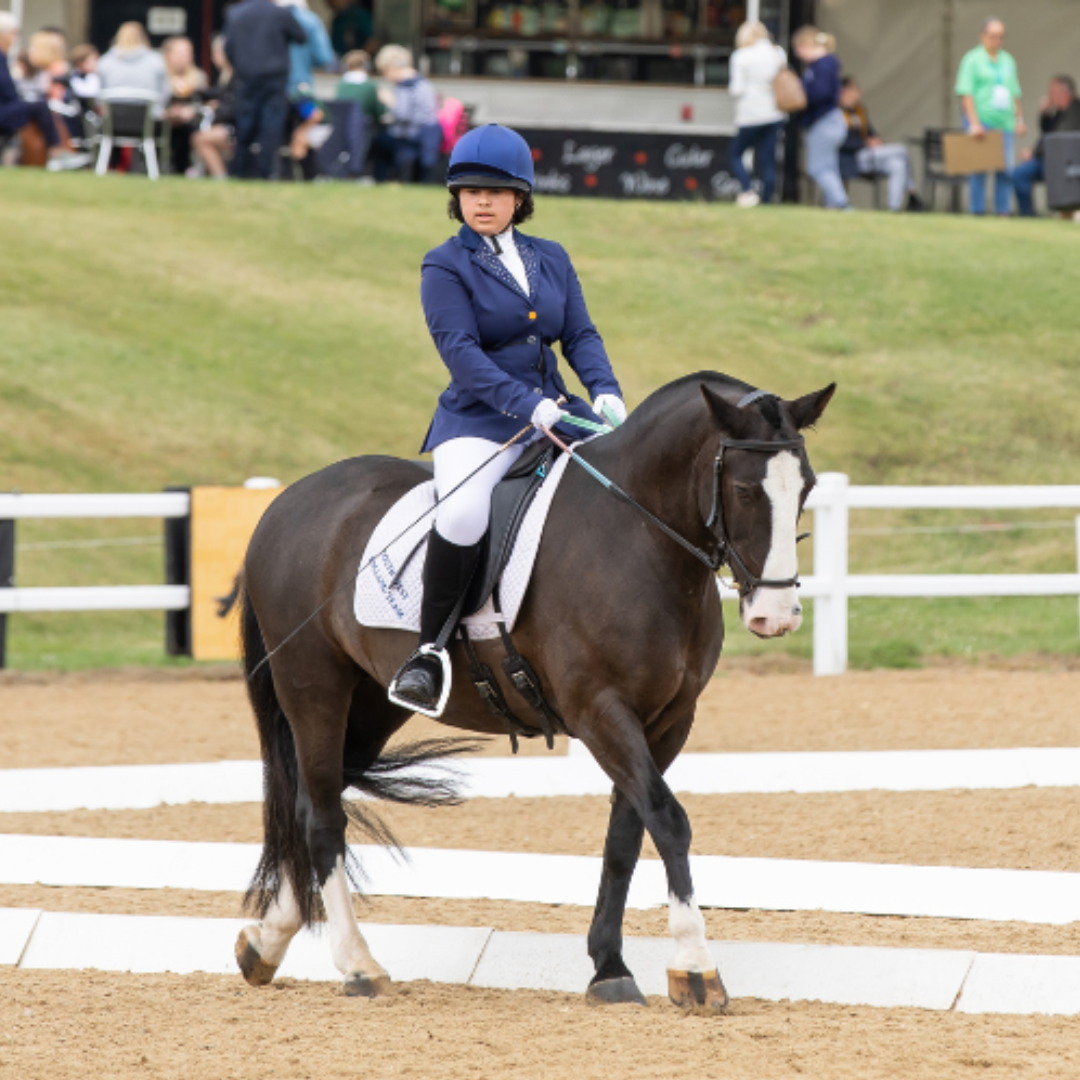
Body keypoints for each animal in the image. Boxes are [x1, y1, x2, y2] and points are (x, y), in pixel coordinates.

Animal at [230, 373, 833, 1010]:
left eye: (807, 487)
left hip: (372, 702)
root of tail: (289, 500)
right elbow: (669, 820)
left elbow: (626, 833)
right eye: (743, 489)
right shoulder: (600, 710)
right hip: (312, 685)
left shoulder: (668, 720)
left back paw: (266, 941)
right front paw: (695, 967)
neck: (640, 537)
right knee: (322, 814)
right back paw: (357, 965)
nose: (776, 616)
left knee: (313, 801)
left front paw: (609, 967)